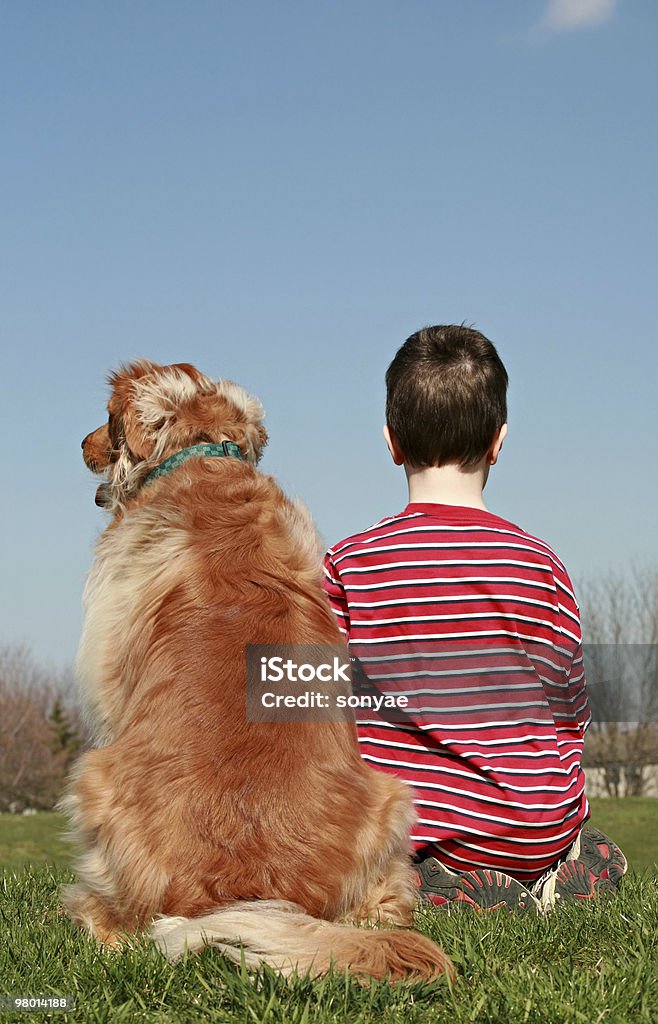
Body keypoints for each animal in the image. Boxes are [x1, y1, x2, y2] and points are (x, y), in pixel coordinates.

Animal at [60, 362, 452, 983]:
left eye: (108, 420)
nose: (81, 444)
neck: (201, 455)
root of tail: (243, 893)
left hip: (92, 779)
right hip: (391, 800)